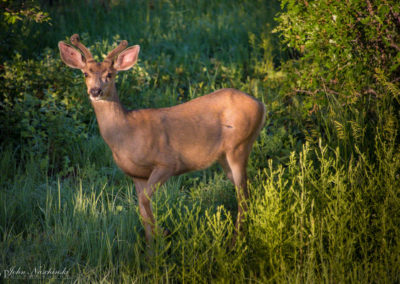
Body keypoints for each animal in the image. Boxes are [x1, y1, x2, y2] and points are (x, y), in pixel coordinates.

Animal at [57, 34, 266, 245]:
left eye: (110, 74)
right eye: (85, 74)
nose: (95, 91)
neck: (126, 135)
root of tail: (261, 104)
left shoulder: (167, 163)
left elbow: (144, 202)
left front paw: (163, 233)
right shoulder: (136, 175)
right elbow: (141, 208)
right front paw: (152, 247)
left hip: (239, 146)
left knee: (243, 196)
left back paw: (235, 241)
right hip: (225, 156)